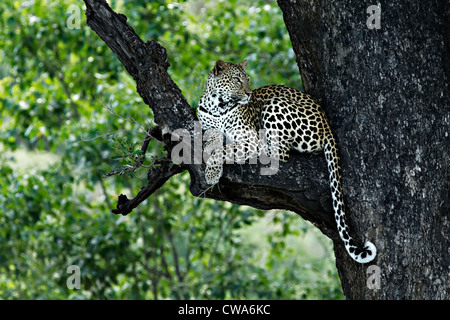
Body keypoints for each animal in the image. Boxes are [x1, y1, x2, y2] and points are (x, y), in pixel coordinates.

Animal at [197, 58, 376, 264]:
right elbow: (213, 139)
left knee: (279, 152)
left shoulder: (249, 139)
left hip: (274, 106)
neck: (216, 107)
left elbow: (224, 149)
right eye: (236, 79)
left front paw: (212, 173)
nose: (249, 93)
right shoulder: (208, 127)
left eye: (247, 79)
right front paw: (211, 150)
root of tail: (326, 124)